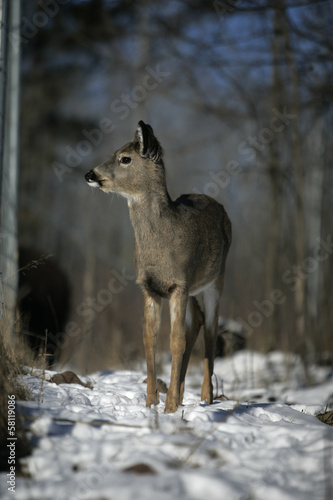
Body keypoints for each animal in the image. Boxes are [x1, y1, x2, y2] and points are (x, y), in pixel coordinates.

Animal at [85, 119, 231, 412]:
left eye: (125, 158)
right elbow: (149, 337)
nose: (90, 174)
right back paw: (185, 392)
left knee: (211, 329)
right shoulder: (149, 287)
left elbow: (176, 340)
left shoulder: (179, 283)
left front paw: (170, 406)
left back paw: (206, 397)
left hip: (215, 280)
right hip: (194, 288)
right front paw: (152, 402)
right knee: (197, 322)